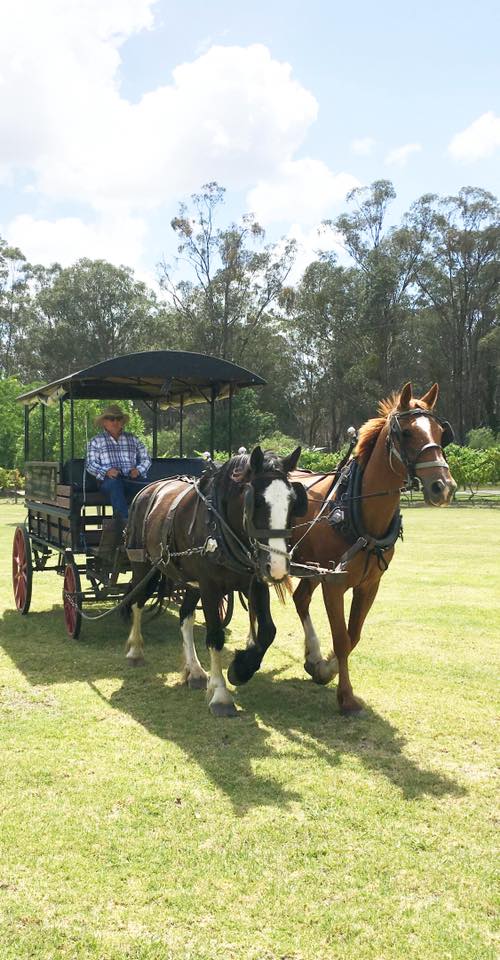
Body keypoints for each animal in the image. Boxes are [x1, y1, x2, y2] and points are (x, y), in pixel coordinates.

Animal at [122, 445, 308, 716]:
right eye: (257, 501)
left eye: (293, 502)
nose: (277, 567)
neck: (220, 526)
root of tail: (146, 490)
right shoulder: (210, 587)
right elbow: (216, 637)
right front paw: (220, 694)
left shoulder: (255, 583)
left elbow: (267, 631)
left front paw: (241, 669)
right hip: (144, 565)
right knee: (137, 600)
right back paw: (135, 650)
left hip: (190, 582)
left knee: (185, 617)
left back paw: (196, 671)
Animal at [227, 383, 457, 713]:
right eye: (406, 433)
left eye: (441, 432)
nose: (443, 487)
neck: (355, 510)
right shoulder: (333, 584)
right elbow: (341, 638)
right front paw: (346, 696)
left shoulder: (368, 584)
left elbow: (353, 635)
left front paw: (325, 667)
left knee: (299, 599)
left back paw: (311, 654)